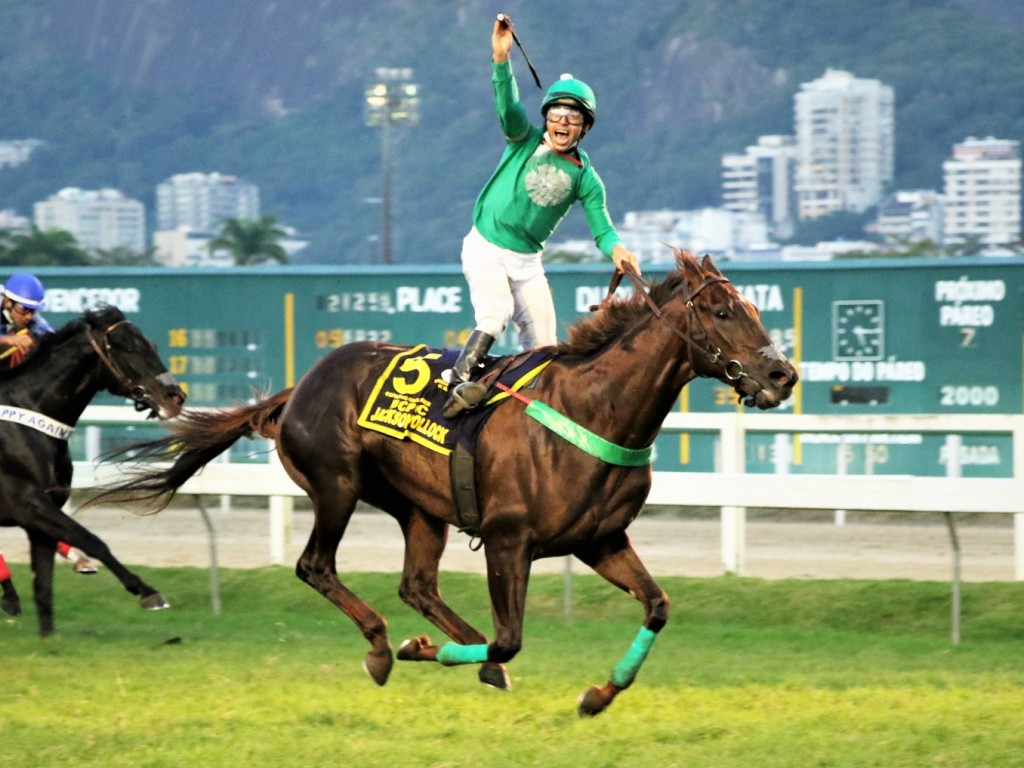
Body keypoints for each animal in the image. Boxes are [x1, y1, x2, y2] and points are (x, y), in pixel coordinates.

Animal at [1, 307, 184, 638]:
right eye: (127, 347)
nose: (174, 395)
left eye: (151, 344)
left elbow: (43, 591)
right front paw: (147, 592)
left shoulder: (40, 516)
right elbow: (93, 540)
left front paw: (49, 639)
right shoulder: (28, 503)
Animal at [92, 250, 794, 716]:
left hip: (418, 509)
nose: (782, 374)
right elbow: (511, 639)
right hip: (337, 485)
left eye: (758, 307)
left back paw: (456, 653)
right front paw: (416, 651)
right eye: (723, 310)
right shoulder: (511, 540)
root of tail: (300, 386)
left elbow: (657, 605)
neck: (592, 407)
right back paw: (384, 647)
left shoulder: (601, 540)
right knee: (317, 565)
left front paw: (598, 694)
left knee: (417, 584)